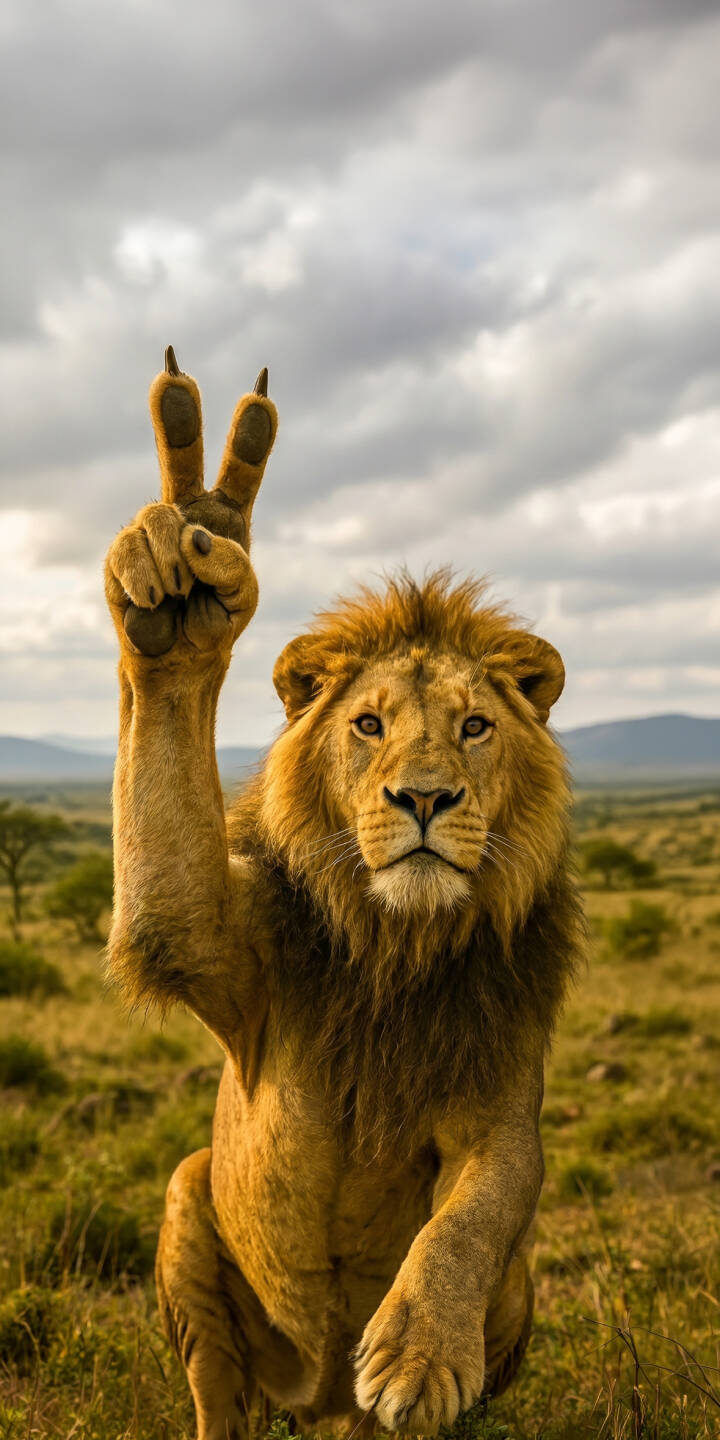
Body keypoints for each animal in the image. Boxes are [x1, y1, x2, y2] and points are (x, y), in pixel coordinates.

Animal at [104, 349, 583, 1440]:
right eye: (369, 725)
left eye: (475, 727)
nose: (424, 797)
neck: (398, 943)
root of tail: (317, 1402)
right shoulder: (220, 948)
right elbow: (174, 889)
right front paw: (187, 579)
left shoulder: (502, 1098)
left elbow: (472, 1217)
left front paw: (418, 1353)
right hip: (186, 1200)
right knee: (216, 1389)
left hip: (521, 1284)